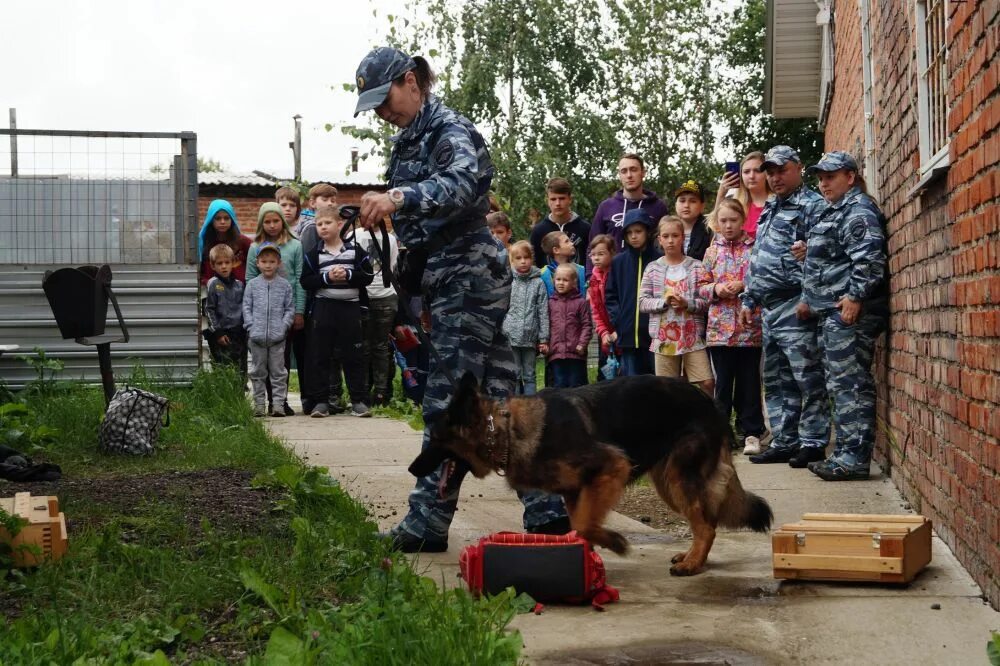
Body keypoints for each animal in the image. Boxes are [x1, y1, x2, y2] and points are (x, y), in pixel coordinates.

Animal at [406, 370, 772, 572]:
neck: (507, 432)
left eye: (435, 439)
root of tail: (712, 403)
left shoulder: (612, 467)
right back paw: (694, 557)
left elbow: (584, 523)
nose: (412, 468)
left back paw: (693, 564)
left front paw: (615, 543)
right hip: (667, 482)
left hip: (678, 478)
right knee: (705, 521)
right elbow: (580, 526)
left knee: (706, 526)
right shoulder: (574, 492)